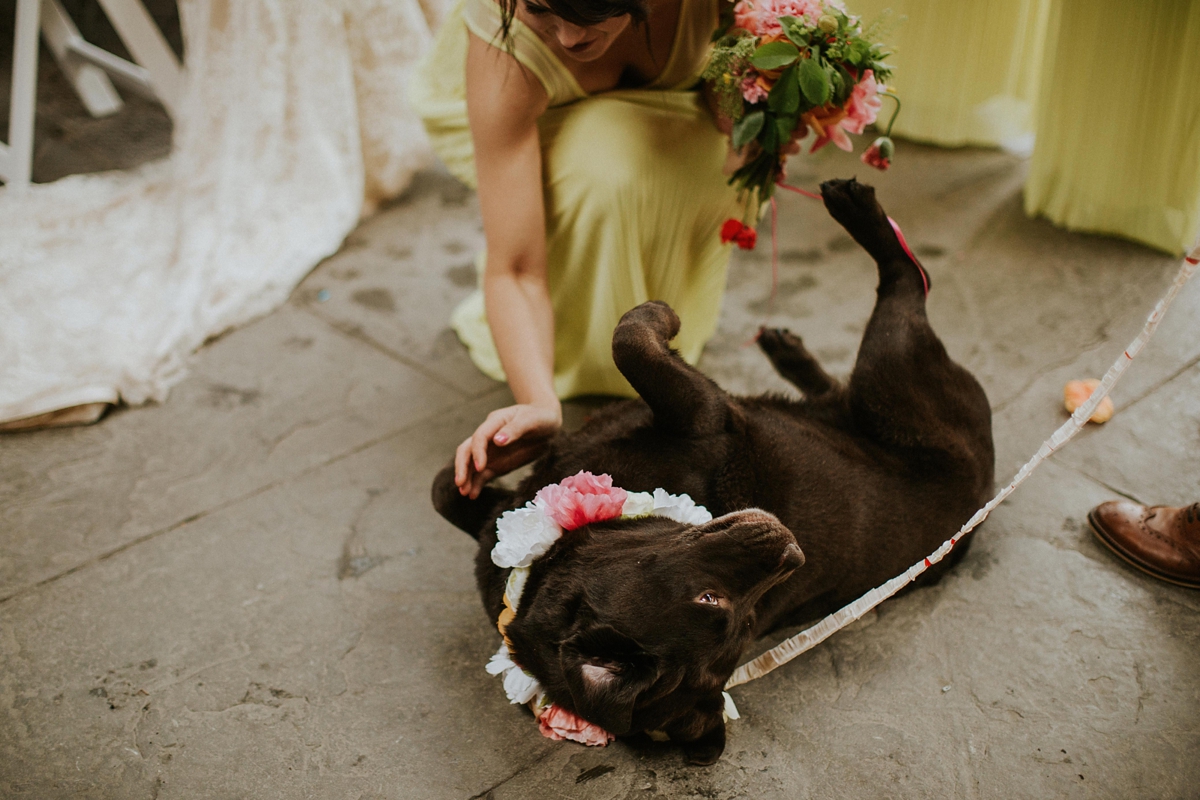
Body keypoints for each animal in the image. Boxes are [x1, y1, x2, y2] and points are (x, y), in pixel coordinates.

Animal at [432, 179, 993, 762]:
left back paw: (840, 238)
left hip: (889, 373)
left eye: (746, 618)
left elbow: (629, 338)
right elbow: (446, 488)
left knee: (903, 285)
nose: (794, 551)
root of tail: (984, 494)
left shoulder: (705, 412)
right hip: (886, 378)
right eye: (715, 602)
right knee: (898, 299)